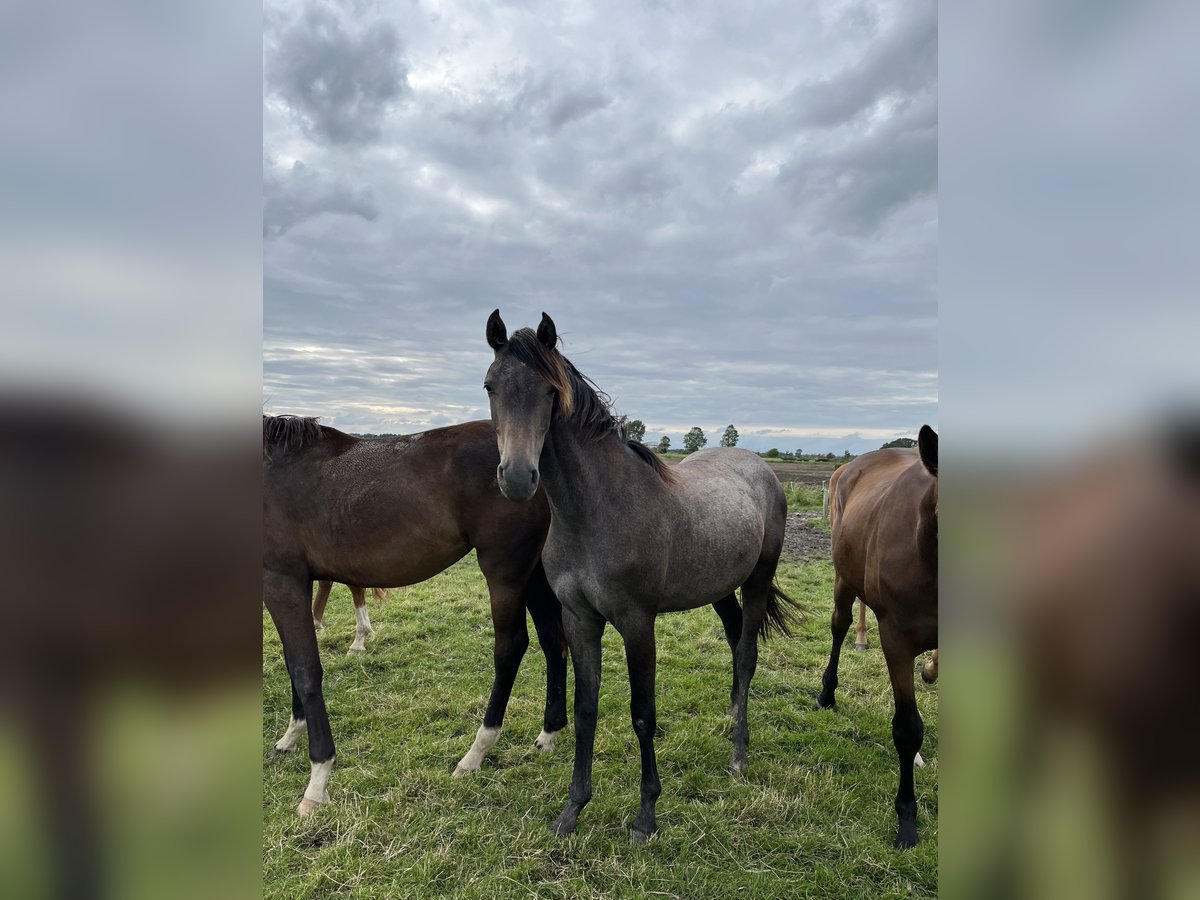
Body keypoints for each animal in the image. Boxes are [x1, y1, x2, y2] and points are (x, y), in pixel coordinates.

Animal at [261, 415, 566, 816]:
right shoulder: (295, 583)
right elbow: (294, 661)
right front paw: (290, 736)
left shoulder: (281, 581)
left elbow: (305, 669)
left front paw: (317, 781)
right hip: (534, 573)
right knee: (552, 639)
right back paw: (549, 733)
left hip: (505, 571)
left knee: (511, 648)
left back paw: (475, 753)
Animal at [477, 312, 796, 844]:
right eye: (490, 386)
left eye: (549, 391)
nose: (518, 479)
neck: (595, 511)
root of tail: (759, 467)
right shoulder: (580, 619)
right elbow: (586, 709)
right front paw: (572, 809)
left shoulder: (636, 623)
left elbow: (643, 714)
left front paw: (646, 815)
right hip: (718, 589)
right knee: (734, 641)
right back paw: (732, 716)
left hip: (755, 582)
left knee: (747, 655)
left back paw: (739, 755)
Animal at [816, 427, 936, 849]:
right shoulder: (897, 641)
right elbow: (907, 729)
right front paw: (907, 820)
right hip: (843, 580)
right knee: (839, 626)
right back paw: (827, 692)